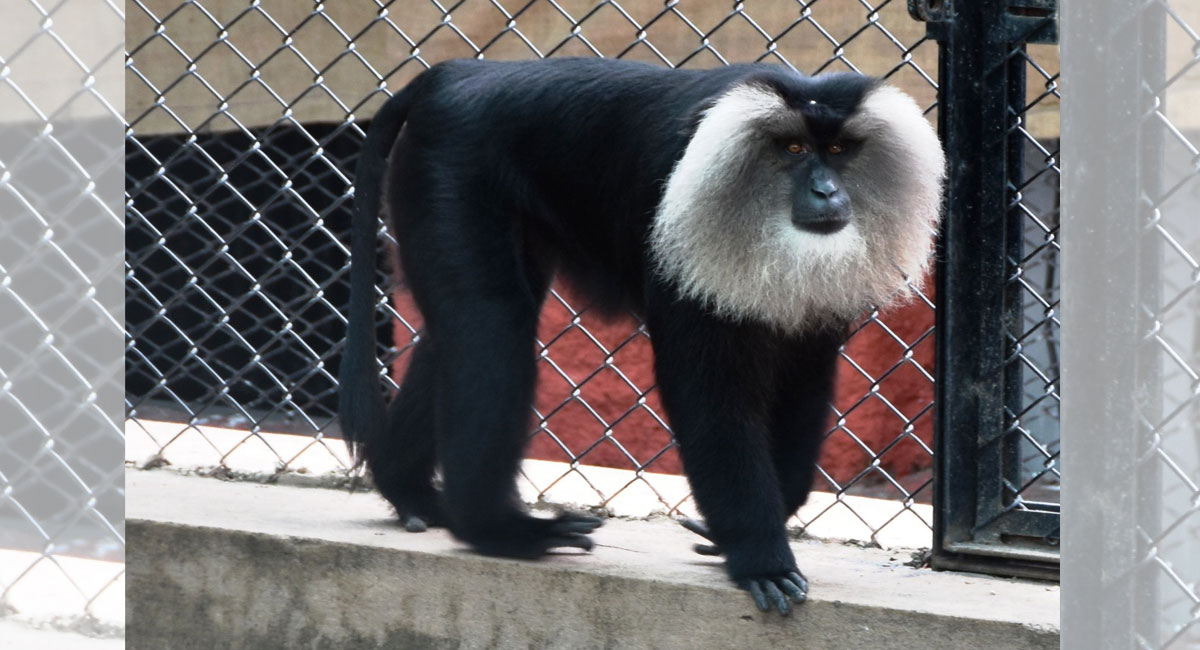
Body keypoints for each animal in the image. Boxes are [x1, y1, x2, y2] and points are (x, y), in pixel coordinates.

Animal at [338, 57, 945, 616]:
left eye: (839, 150)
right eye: (793, 149)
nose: (826, 191)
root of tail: (454, 75)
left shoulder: (810, 322)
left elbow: (803, 385)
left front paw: (742, 526)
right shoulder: (687, 247)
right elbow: (706, 394)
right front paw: (759, 557)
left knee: (453, 338)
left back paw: (411, 493)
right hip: (447, 178)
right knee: (491, 325)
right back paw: (497, 530)